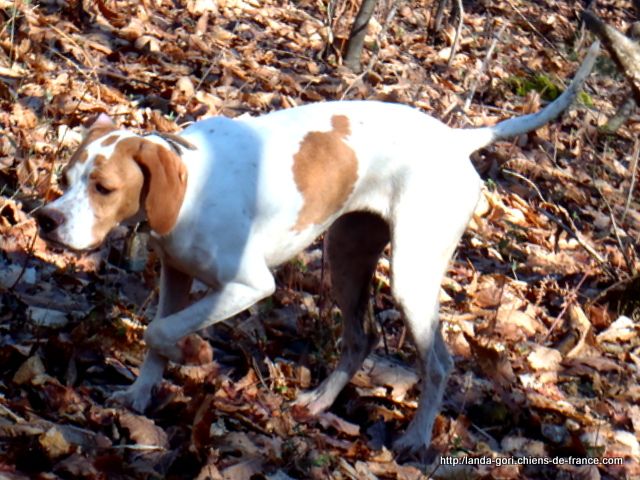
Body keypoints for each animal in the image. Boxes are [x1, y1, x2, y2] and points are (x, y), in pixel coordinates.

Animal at [36, 44, 600, 454]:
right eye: (65, 180)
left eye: (104, 188)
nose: (46, 219)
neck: (191, 184)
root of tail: (456, 141)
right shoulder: (174, 274)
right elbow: (156, 336)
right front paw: (138, 394)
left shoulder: (248, 286)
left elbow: (160, 331)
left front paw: (191, 353)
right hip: (347, 260)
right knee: (361, 339)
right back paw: (319, 402)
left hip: (410, 278)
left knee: (439, 362)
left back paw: (416, 439)